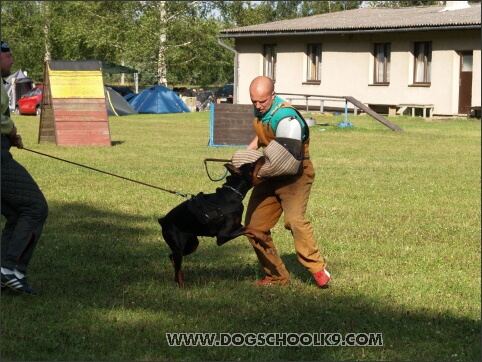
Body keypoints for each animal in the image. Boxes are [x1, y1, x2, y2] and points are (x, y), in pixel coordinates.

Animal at [158, 160, 266, 288]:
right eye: (252, 165)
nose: (263, 157)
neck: (232, 195)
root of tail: (162, 221)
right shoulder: (223, 236)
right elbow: (249, 229)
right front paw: (263, 237)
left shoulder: (236, 226)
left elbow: (249, 228)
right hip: (178, 245)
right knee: (176, 266)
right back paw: (182, 284)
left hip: (192, 244)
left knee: (172, 257)